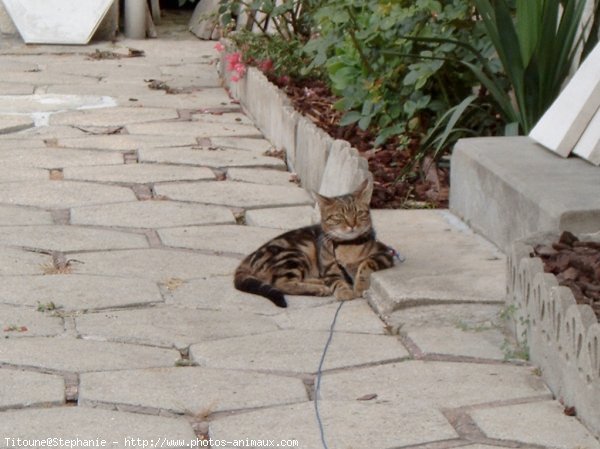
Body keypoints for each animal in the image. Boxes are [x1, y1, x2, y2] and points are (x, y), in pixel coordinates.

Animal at [234, 180, 398, 306]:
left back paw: (319, 283)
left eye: (359, 213)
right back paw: (319, 288)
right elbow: (337, 281)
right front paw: (345, 291)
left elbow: (366, 264)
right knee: (282, 284)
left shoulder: (385, 254)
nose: (352, 225)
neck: (348, 245)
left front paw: (359, 285)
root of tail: (248, 259)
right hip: (296, 254)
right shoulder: (329, 268)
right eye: (338, 216)